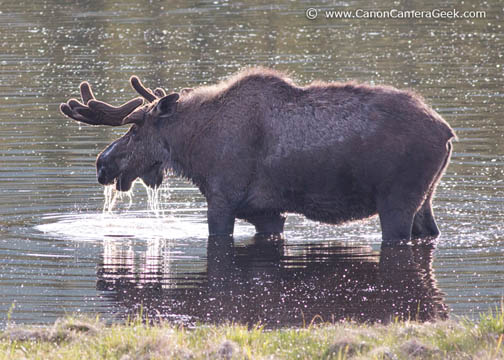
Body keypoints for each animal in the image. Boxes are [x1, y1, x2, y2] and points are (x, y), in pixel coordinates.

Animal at [60, 67, 456, 246]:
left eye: (134, 128)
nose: (102, 164)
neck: (195, 151)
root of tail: (448, 133)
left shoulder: (223, 199)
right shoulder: (267, 213)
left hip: (397, 199)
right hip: (425, 197)